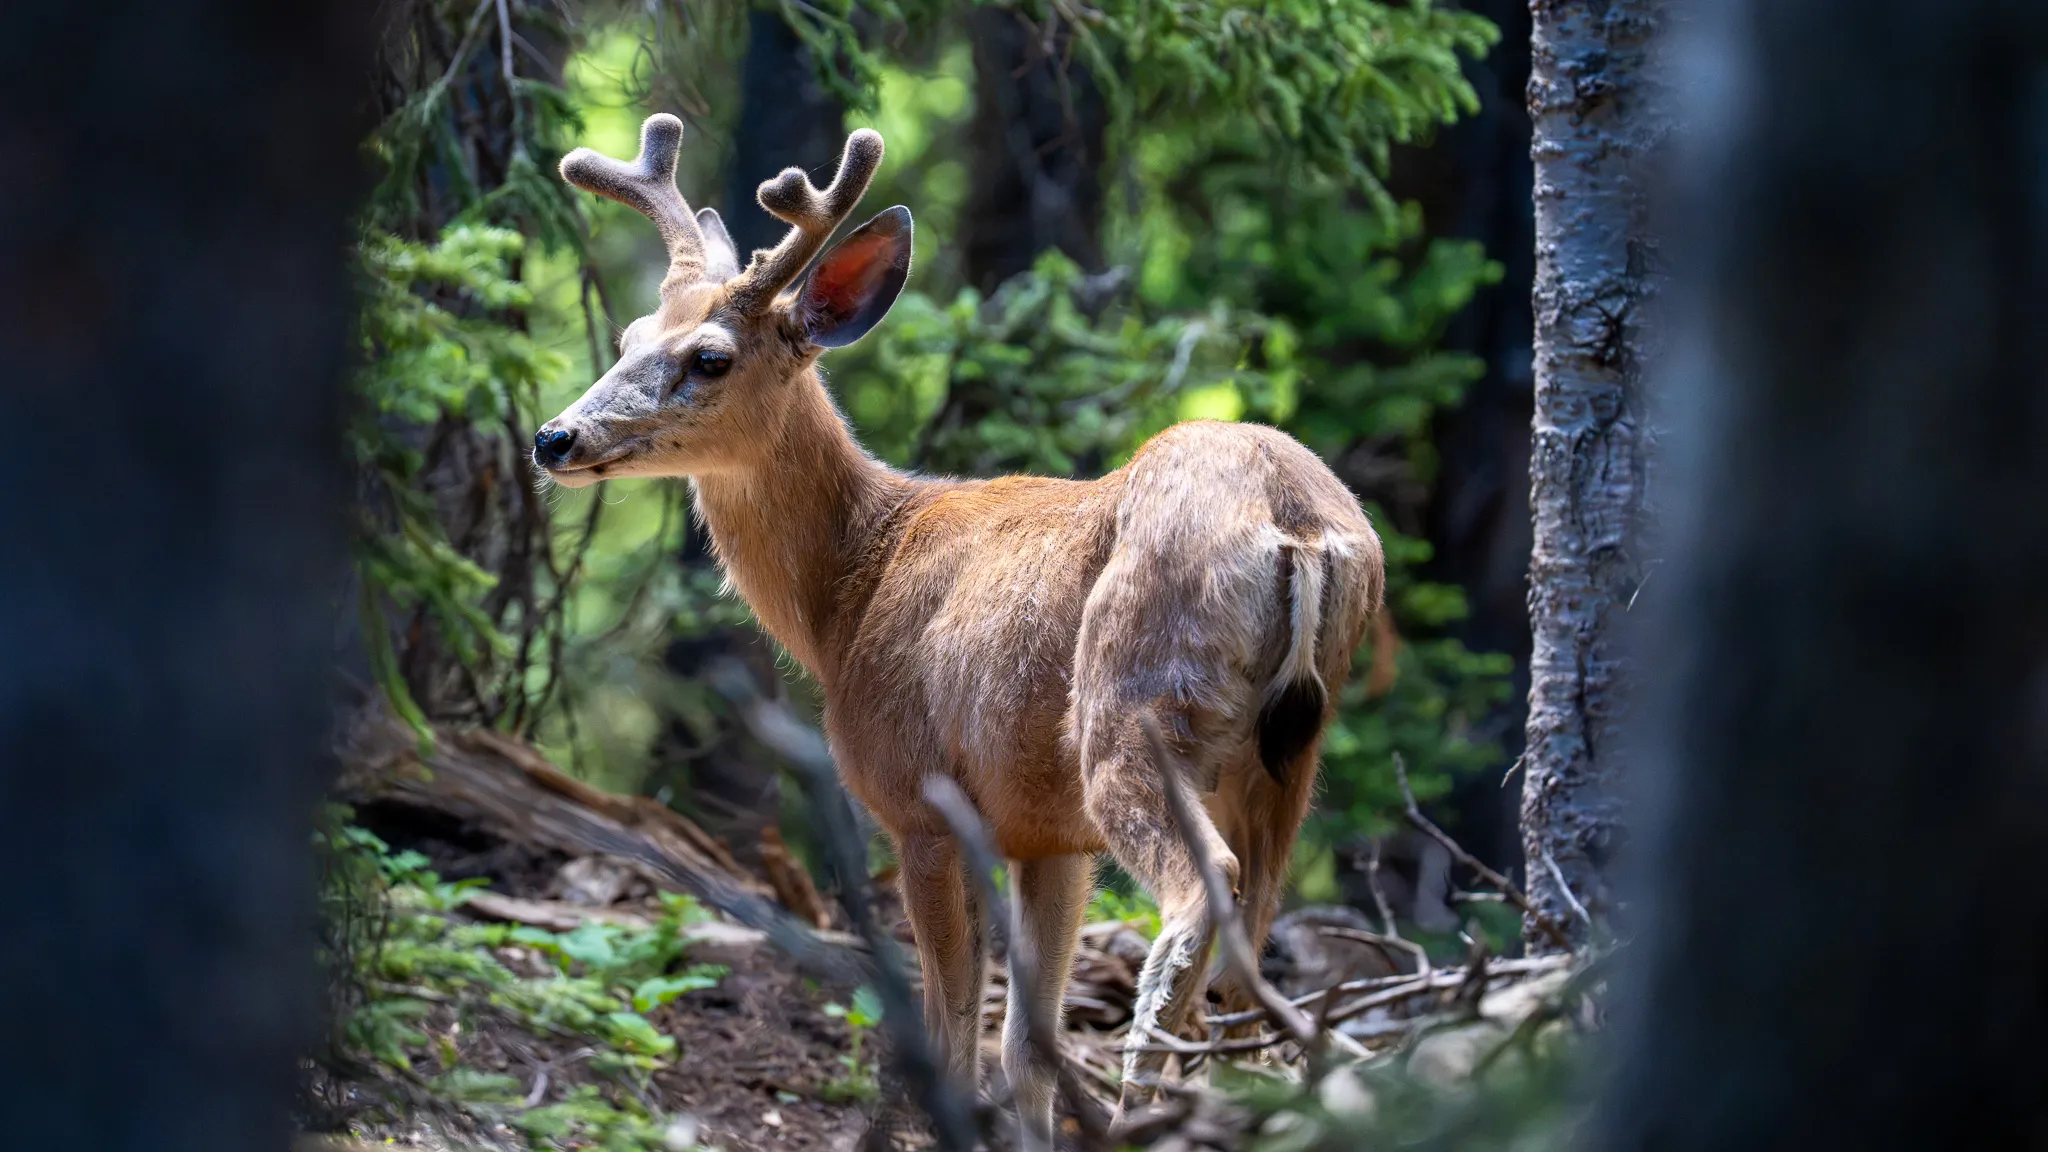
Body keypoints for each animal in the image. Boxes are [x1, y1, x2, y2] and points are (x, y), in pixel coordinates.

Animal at [535, 113, 1385, 1148]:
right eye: (625, 337)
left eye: (709, 358)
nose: (554, 438)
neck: (848, 589)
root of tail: (1294, 524)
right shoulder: (1046, 835)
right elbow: (1025, 1049)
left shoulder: (920, 800)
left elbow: (947, 1041)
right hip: (1291, 754)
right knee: (1253, 947)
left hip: (1135, 707)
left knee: (1199, 896)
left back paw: (1146, 1104)